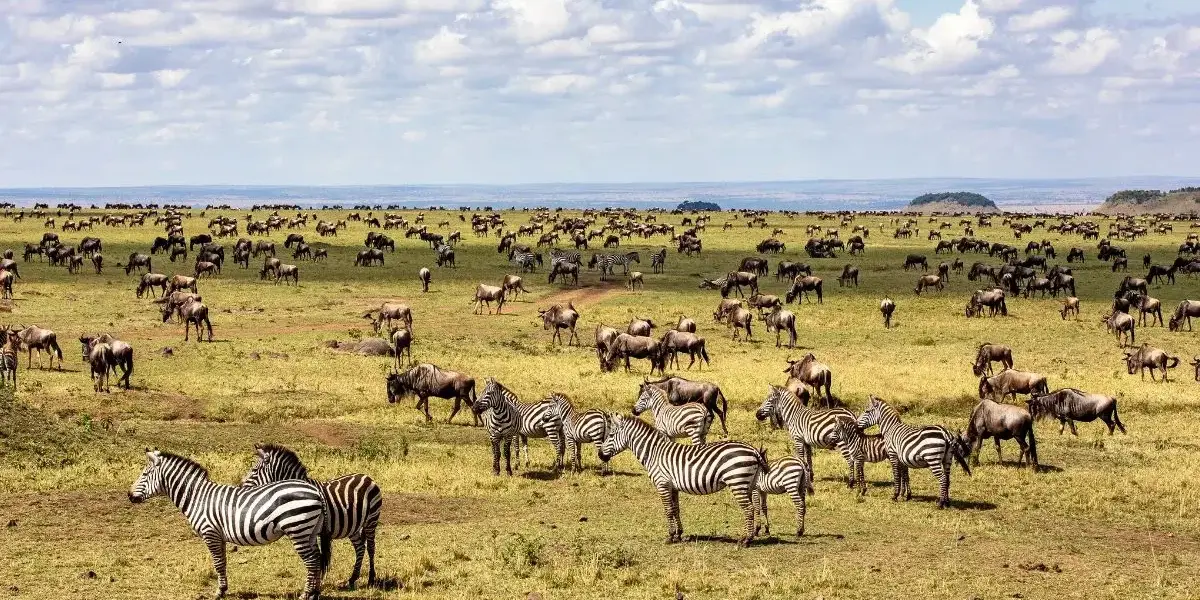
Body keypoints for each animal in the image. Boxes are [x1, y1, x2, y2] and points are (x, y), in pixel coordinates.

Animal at [128, 449, 330, 600]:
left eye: (144, 474)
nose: (129, 496)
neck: (197, 498)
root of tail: (315, 491)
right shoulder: (219, 536)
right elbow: (223, 562)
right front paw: (223, 589)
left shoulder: (210, 533)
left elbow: (217, 563)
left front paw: (219, 592)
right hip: (309, 531)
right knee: (317, 559)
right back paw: (315, 593)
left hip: (298, 529)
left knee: (311, 561)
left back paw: (305, 595)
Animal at [241, 444, 383, 590]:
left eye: (254, 470)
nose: (241, 488)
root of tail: (366, 476)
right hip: (352, 526)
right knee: (360, 548)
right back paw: (353, 578)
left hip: (371, 519)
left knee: (371, 547)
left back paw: (371, 579)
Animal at [598, 413, 767, 546]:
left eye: (611, 435)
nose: (600, 455)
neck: (653, 452)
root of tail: (753, 450)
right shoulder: (672, 486)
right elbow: (675, 509)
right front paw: (679, 534)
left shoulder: (662, 483)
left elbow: (667, 510)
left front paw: (670, 536)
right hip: (749, 483)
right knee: (754, 507)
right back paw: (751, 536)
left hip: (737, 481)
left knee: (748, 509)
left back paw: (745, 540)